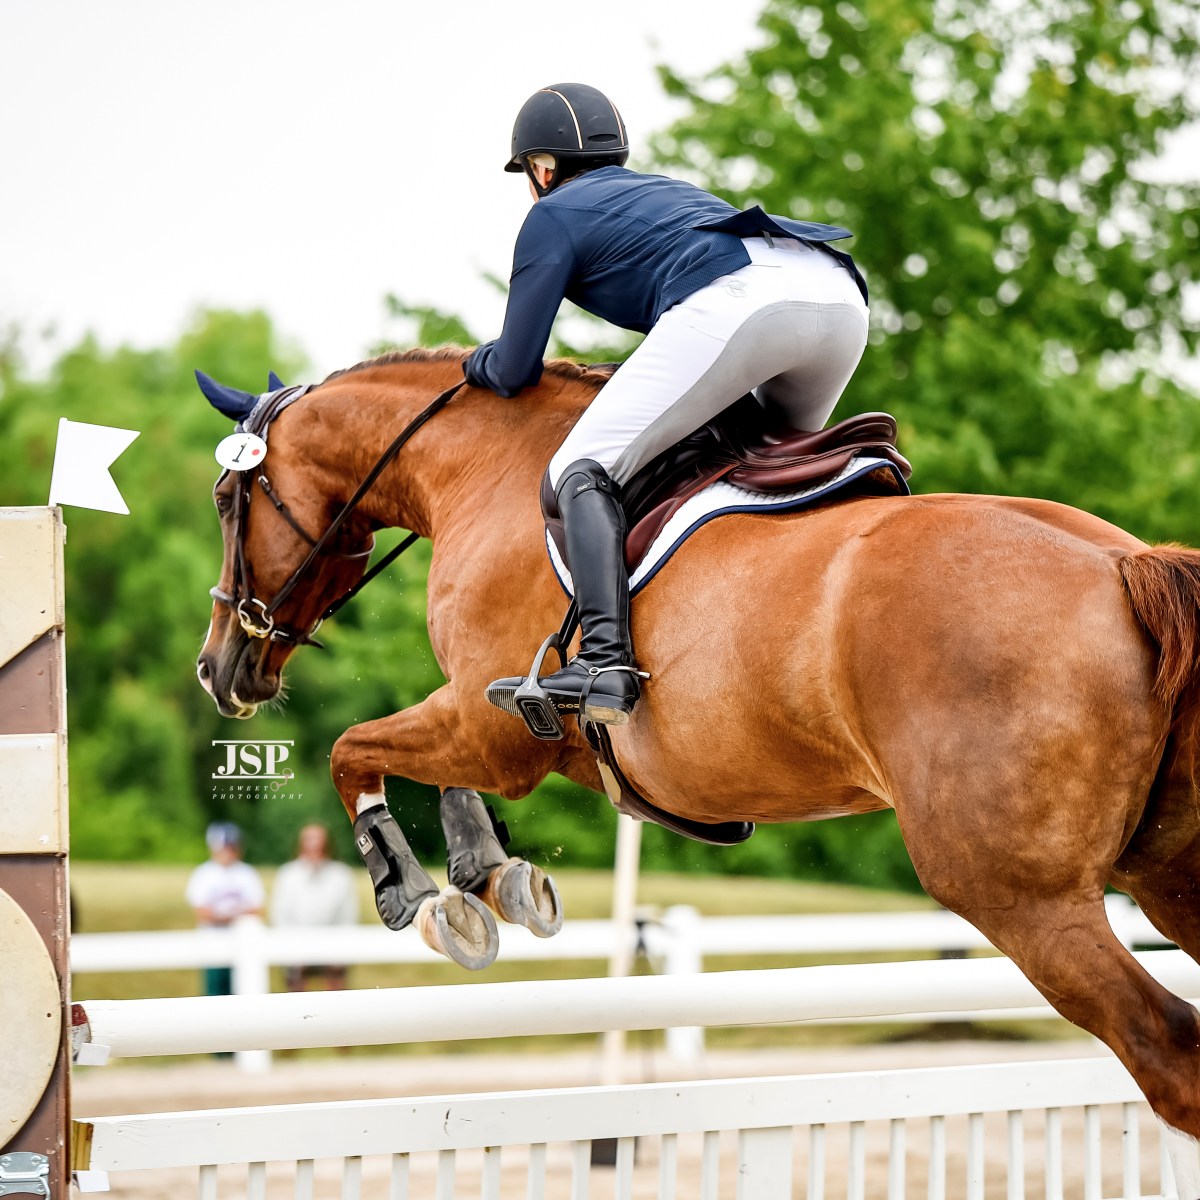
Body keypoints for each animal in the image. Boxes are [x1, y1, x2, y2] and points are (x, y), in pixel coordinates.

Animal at [196, 346, 1200, 1146]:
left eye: (225, 498)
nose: (218, 670)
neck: (482, 466)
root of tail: (1126, 565)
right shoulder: (495, 728)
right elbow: (422, 771)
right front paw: (491, 877)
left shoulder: (492, 728)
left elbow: (353, 751)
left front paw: (419, 893)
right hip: (1166, 874)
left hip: (1020, 895)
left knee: (1166, 1053)